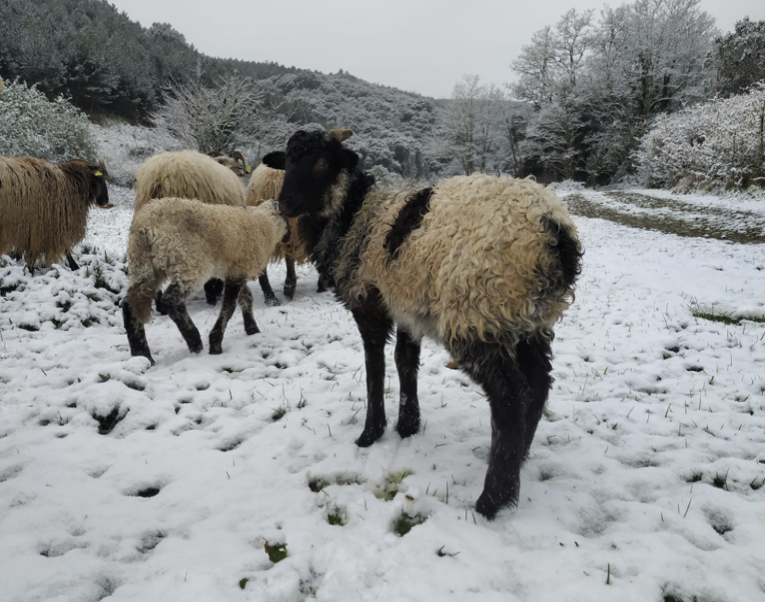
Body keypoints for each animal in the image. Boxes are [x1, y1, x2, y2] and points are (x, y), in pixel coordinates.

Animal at [122, 197, 288, 364]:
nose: (288, 238)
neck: (265, 223)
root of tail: (145, 224)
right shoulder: (238, 272)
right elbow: (229, 307)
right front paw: (216, 344)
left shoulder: (235, 270)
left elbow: (246, 298)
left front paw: (252, 329)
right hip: (189, 262)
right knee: (171, 300)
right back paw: (194, 341)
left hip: (144, 265)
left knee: (130, 304)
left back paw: (142, 355)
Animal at [263, 129, 582, 519]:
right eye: (288, 161)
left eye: (323, 163)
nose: (286, 203)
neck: (355, 214)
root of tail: (553, 228)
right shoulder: (405, 303)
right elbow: (405, 361)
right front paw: (407, 424)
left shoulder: (369, 302)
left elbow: (374, 367)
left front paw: (371, 434)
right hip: (528, 319)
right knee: (538, 384)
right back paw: (517, 461)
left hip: (477, 310)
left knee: (509, 399)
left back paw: (492, 499)